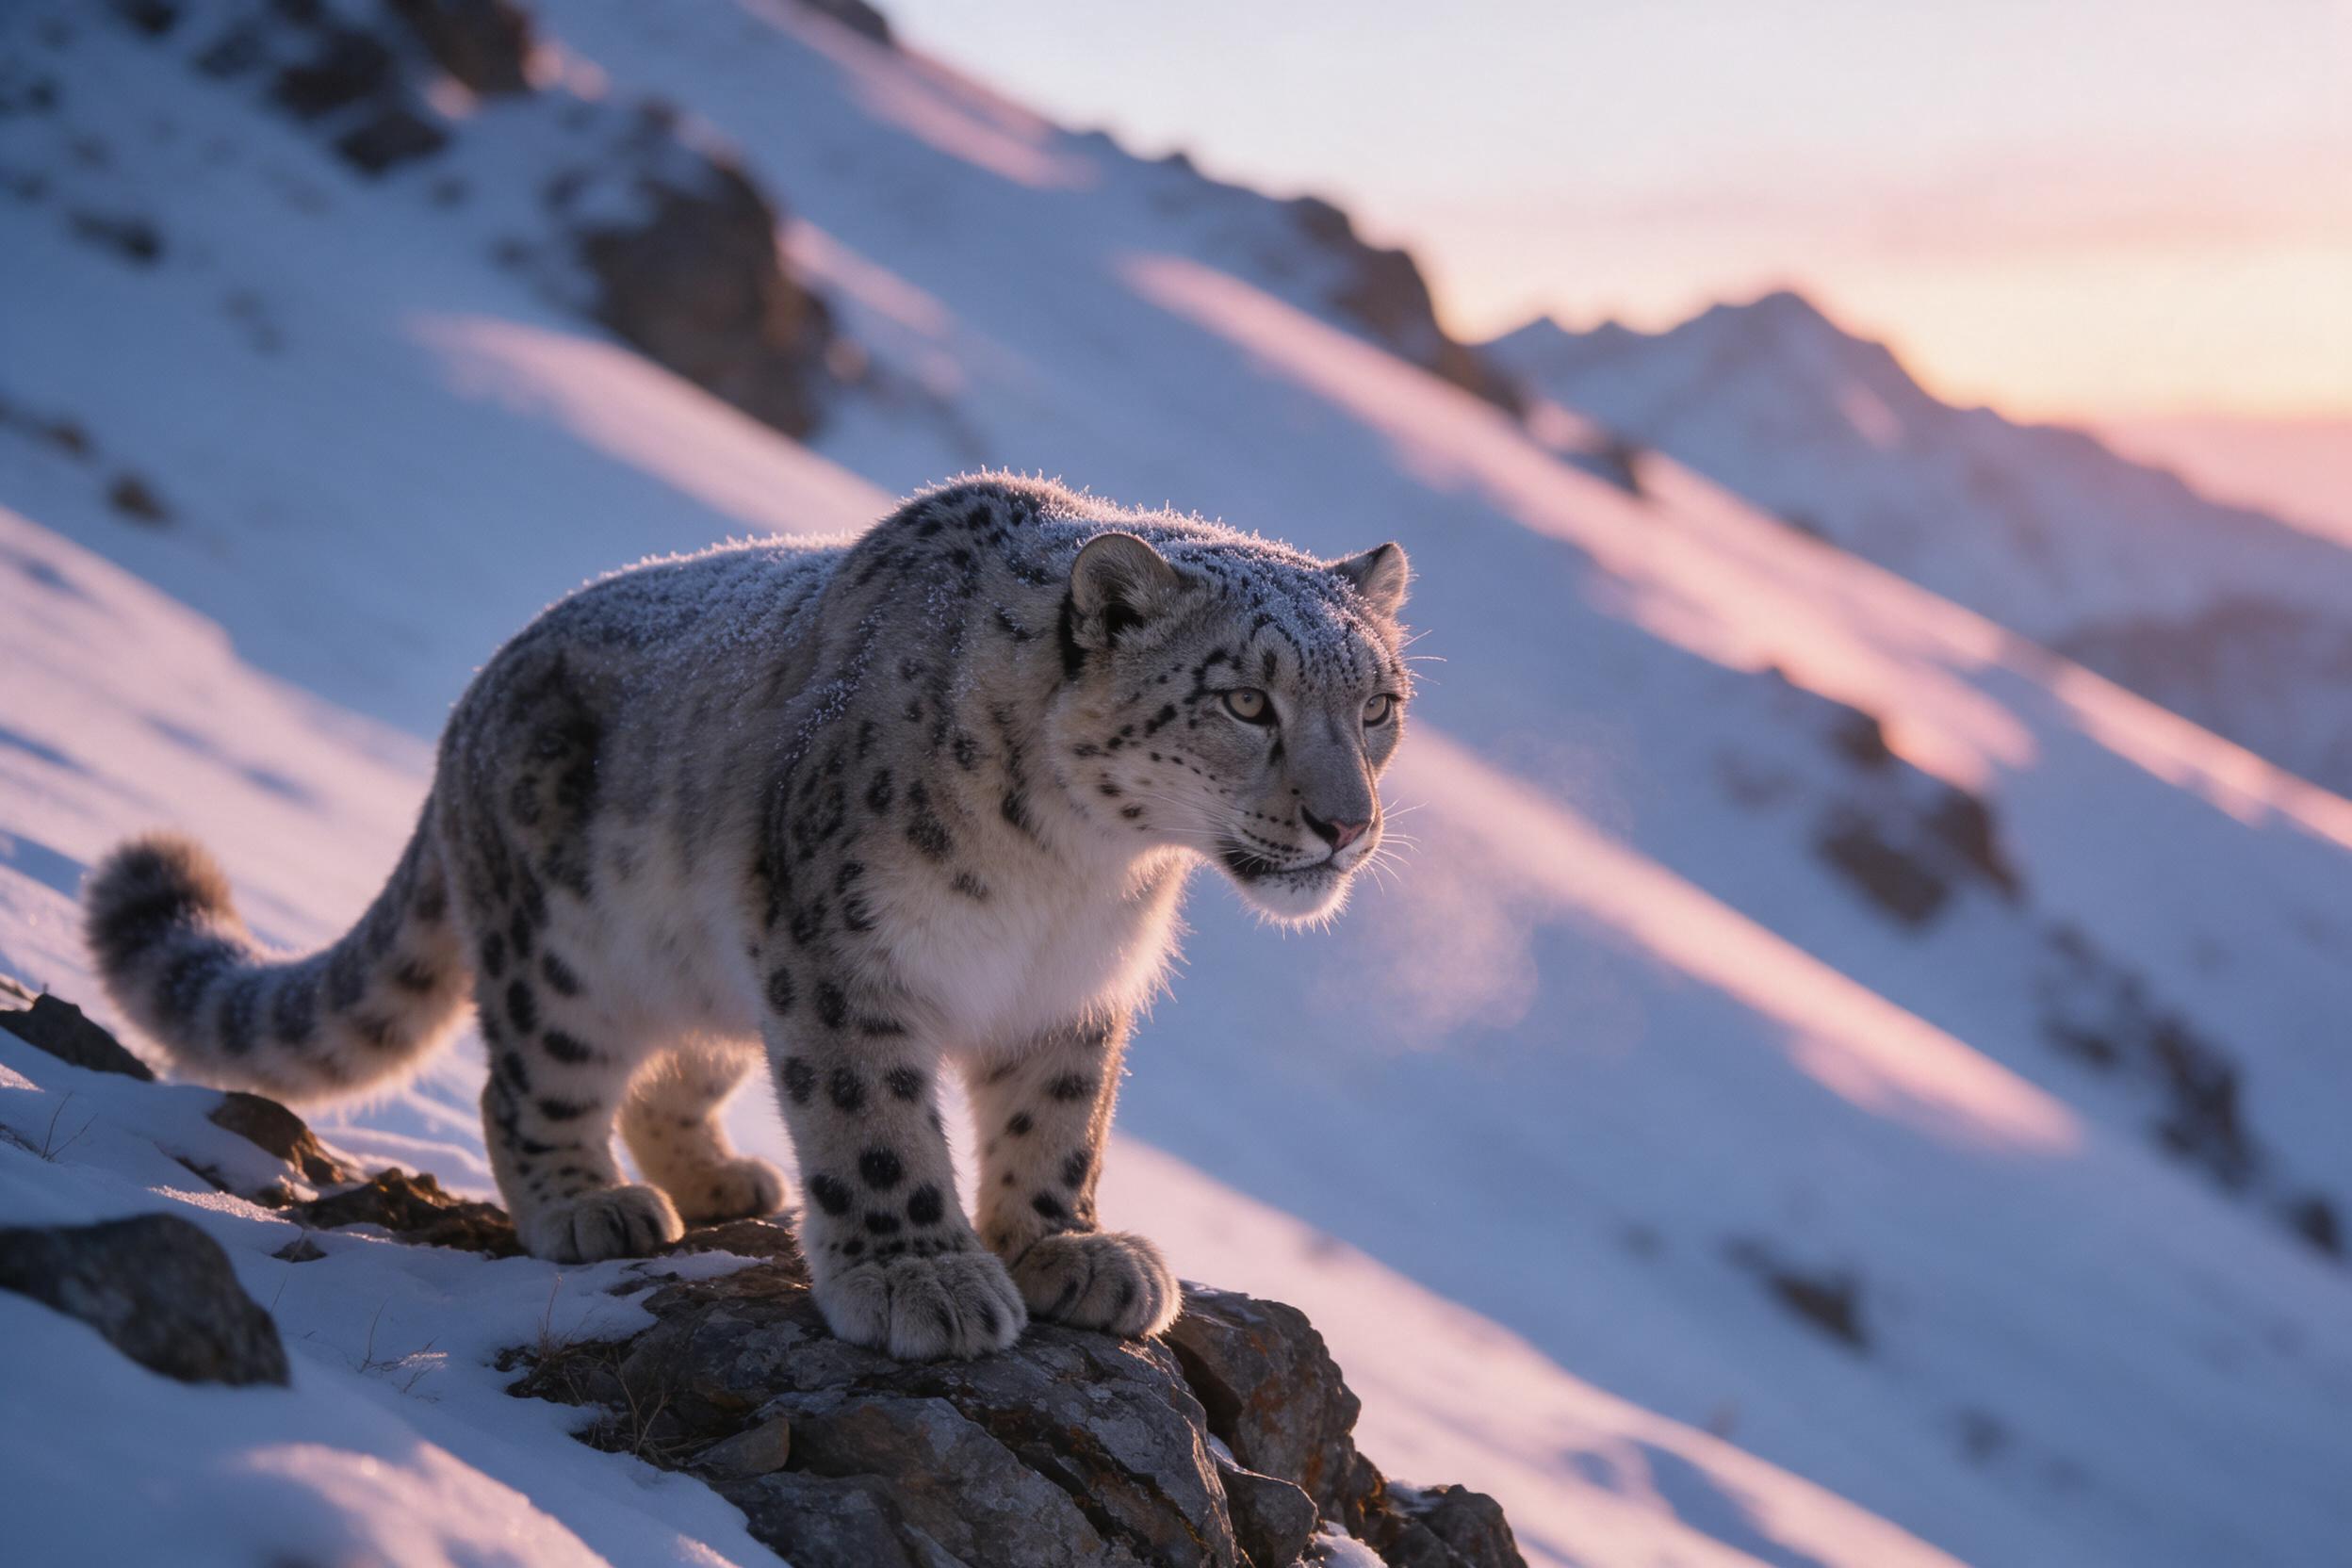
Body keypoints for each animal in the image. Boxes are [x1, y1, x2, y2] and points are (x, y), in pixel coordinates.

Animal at [84, 475, 1412, 1359]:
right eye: (1245, 700)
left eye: (1380, 704)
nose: (1346, 824)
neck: (1076, 871)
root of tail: (475, 695)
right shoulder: (844, 952)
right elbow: (873, 1122)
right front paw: (922, 1277)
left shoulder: (1074, 992)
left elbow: (1058, 1124)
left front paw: (1068, 1248)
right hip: (567, 955)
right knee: (526, 1079)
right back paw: (587, 1202)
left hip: (717, 974)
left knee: (672, 1079)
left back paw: (724, 1177)